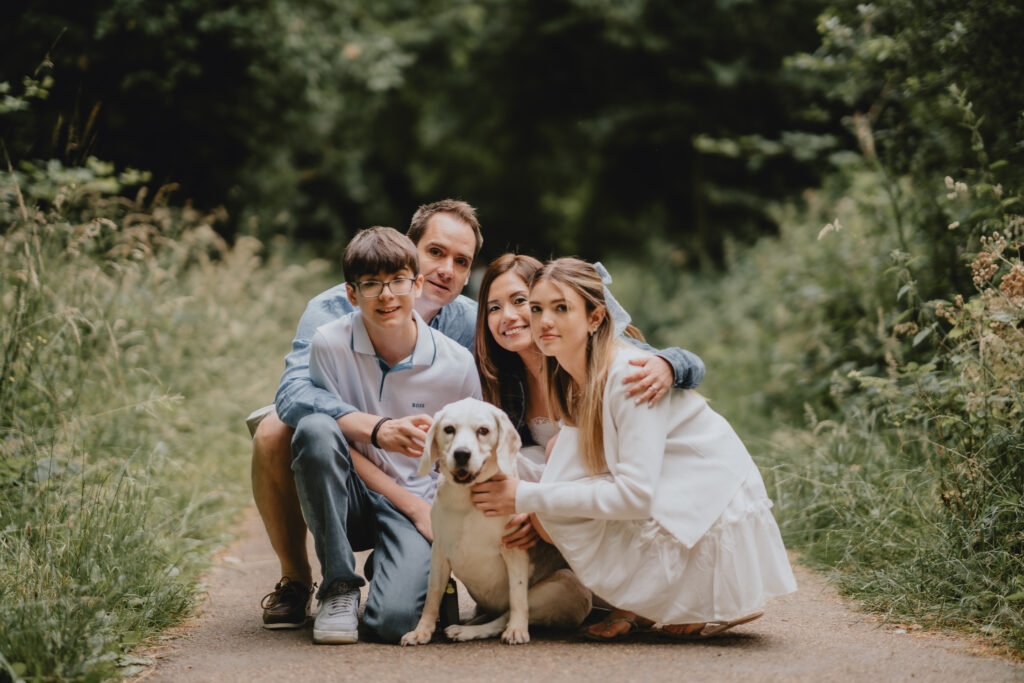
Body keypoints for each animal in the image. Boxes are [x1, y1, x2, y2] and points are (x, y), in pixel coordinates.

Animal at [399, 397, 593, 643]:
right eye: (449, 429)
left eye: (483, 430)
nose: (462, 454)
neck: (467, 499)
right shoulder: (440, 552)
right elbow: (432, 597)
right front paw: (422, 630)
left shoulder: (515, 550)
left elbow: (517, 598)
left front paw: (517, 629)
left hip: (567, 585)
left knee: (504, 617)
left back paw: (470, 630)